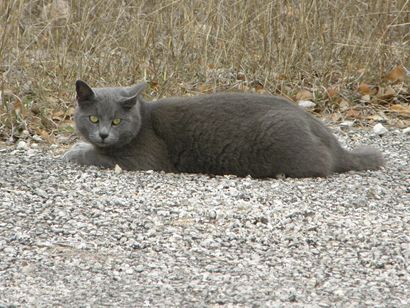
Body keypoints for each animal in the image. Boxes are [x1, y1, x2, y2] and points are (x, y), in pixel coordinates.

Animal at [62, 80, 382, 178]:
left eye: (117, 121)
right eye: (93, 119)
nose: (104, 134)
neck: (143, 121)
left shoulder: (142, 159)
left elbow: (95, 156)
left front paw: (72, 152)